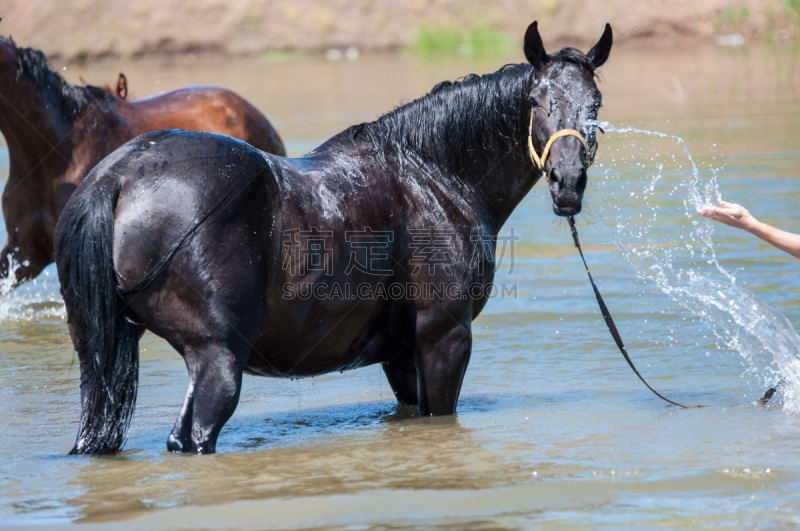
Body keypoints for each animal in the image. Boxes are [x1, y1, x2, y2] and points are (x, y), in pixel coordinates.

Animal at [56, 19, 616, 454]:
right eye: (536, 99)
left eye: (595, 102)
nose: (568, 183)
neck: (432, 175)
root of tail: (120, 175)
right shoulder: (444, 337)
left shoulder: (401, 353)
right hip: (216, 358)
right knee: (193, 436)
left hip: (100, 361)